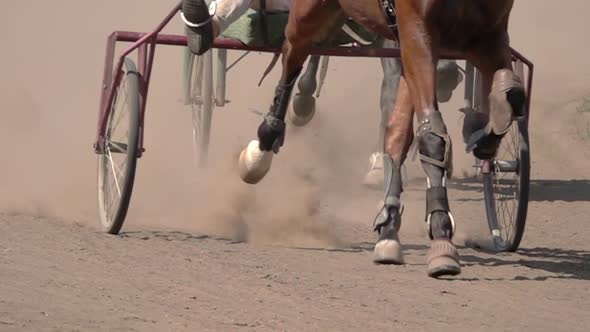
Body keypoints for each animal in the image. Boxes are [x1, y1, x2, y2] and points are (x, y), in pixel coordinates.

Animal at [236, 0, 528, 278]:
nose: (447, 74)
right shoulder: (417, 33)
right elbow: (431, 135)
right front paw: (442, 237)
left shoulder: (488, 35)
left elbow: (513, 95)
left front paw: (481, 132)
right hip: (310, 14)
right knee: (294, 52)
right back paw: (263, 147)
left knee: (396, 131)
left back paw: (388, 226)